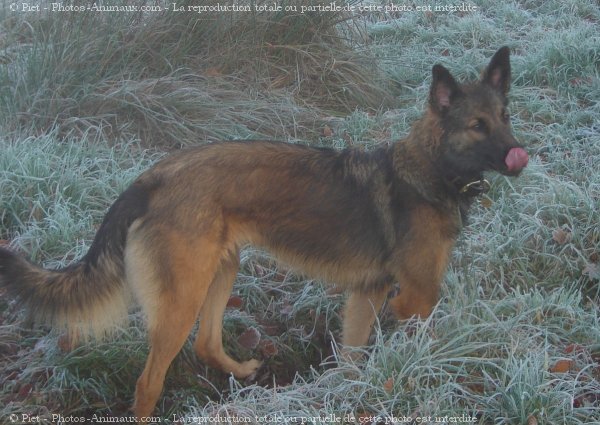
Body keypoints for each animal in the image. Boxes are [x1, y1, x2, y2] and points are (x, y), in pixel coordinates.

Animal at [0, 47, 524, 418]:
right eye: (477, 126)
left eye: (505, 117)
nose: (519, 157)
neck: (431, 171)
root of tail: (152, 177)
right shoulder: (417, 296)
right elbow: (407, 334)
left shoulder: (366, 293)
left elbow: (352, 357)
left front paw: (347, 393)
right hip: (182, 297)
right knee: (149, 383)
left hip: (221, 268)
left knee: (206, 343)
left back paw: (241, 370)